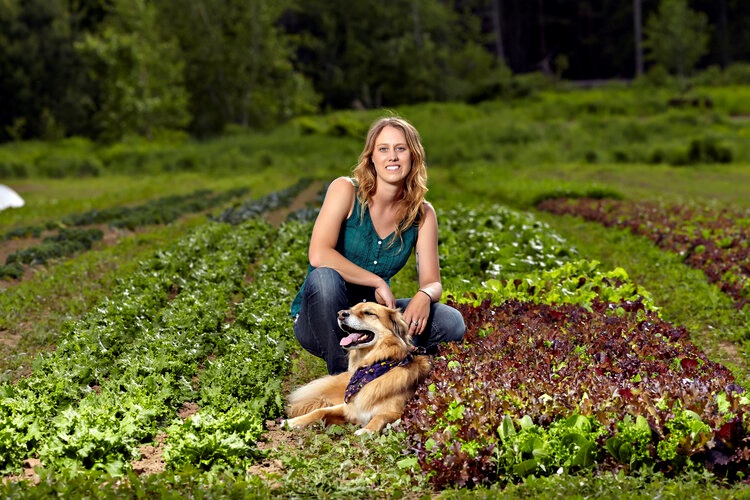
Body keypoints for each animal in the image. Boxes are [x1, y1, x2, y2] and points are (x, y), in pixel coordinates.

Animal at [283, 302, 431, 435]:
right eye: (351, 308)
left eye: (369, 313)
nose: (340, 314)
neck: (371, 366)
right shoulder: (348, 407)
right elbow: (320, 411)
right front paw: (293, 421)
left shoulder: (400, 412)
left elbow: (381, 416)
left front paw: (367, 430)